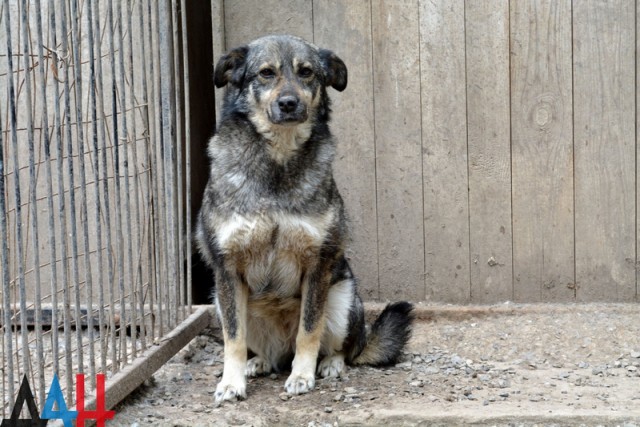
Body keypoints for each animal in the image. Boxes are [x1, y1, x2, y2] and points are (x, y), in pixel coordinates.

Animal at [196, 34, 416, 404]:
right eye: (266, 73)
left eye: (307, 72)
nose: (288, 103)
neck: (278, 162)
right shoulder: (227, 269)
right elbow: (233, 339)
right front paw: (231, 382)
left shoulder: (318, 264)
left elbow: (308, 330)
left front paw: (302, 376)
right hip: (221, 301)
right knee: (265, 352)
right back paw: (258, 363)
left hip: (343, 300)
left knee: (343, 348)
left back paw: (329, 364)